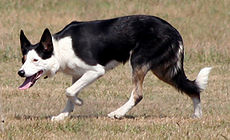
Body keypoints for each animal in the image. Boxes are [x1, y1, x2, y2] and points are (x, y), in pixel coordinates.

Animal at [17, 15, 212, 120]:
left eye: (35, 60)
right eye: (23, 59)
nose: (20, 72)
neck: (59, 49)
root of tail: (174, 31)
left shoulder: (96, 70)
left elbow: (69, 91)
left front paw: (79, 103)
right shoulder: (78, 75)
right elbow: (71, 93)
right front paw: (63, 115)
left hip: (139, 62)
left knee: (138, 94)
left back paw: (118, 113)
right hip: (164, 71)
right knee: (193, 88)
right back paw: (197, 115)